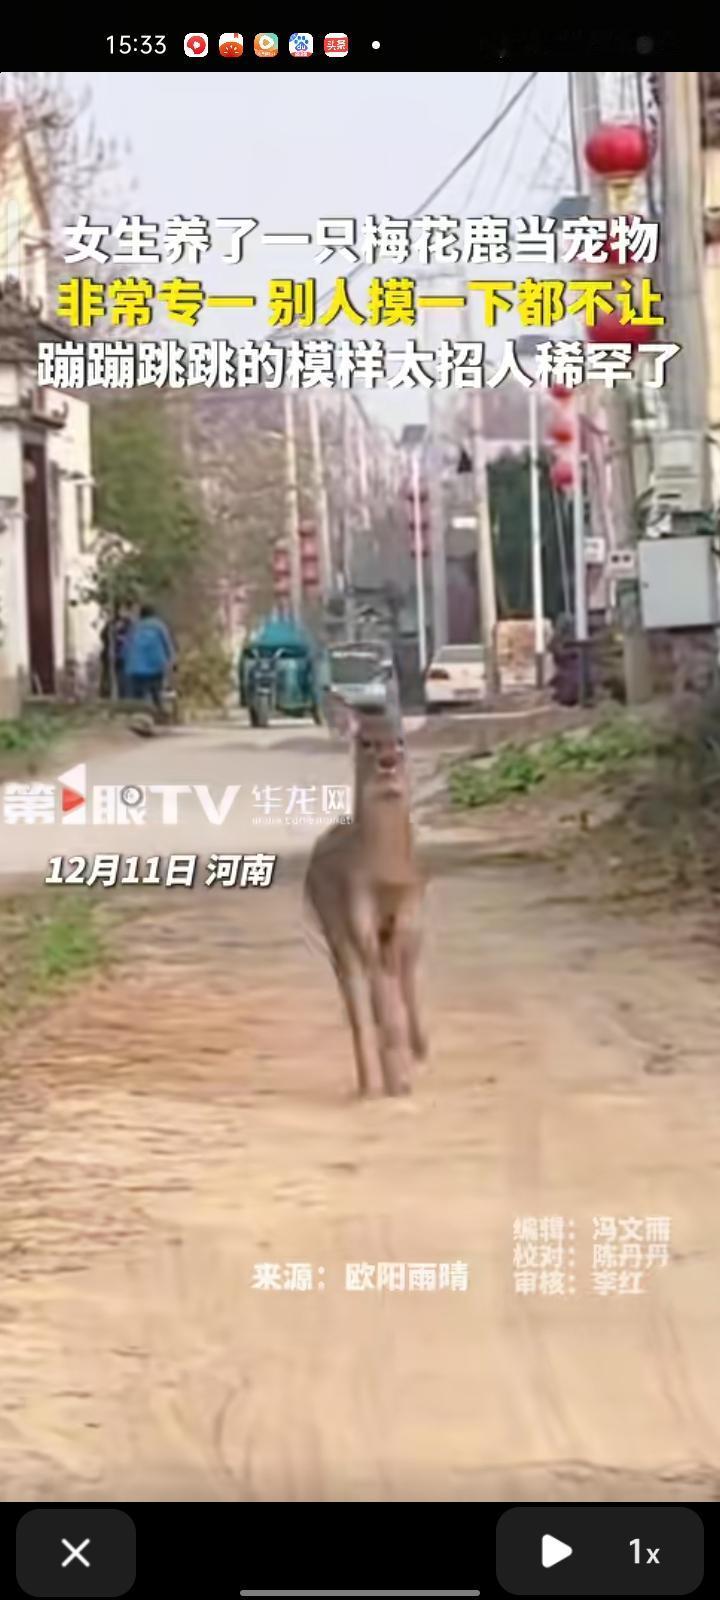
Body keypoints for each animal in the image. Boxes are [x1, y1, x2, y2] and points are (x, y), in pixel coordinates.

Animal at [304, 697, 426, 1097]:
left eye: (400, 740)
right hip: (333, 934)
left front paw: (415, 1055)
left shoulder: (410, 910)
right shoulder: (357, 915)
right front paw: (395, 1075)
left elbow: (400, 985)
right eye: (366, 742)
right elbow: (378, 999)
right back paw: (370, 1083)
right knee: (357, 1004)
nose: (388, 761)